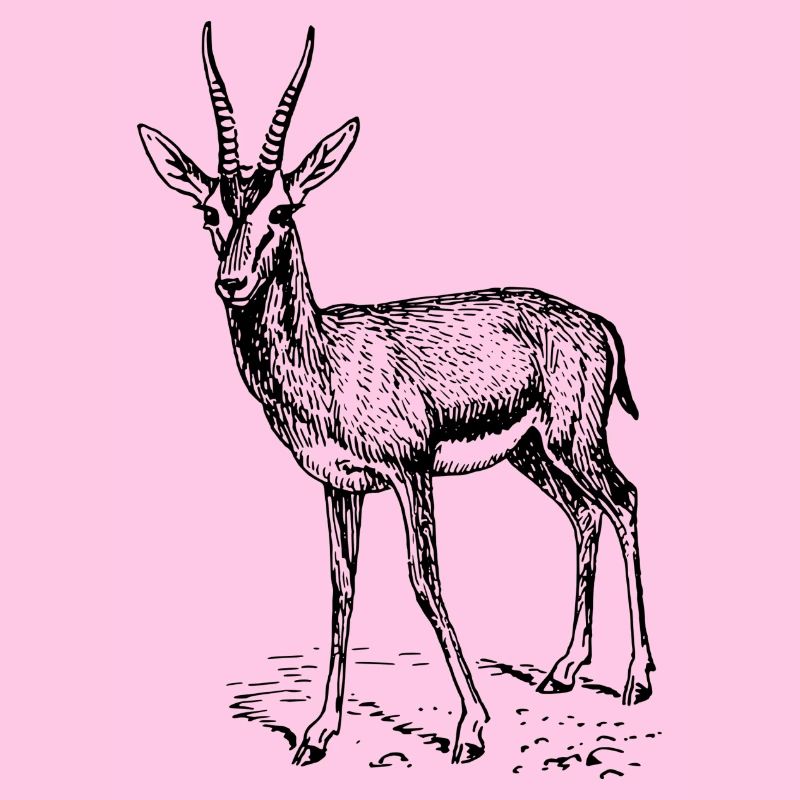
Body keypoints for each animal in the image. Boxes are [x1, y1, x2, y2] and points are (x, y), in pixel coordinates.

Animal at [138, 23, 655, 766]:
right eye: (211, 210)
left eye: (282, 209)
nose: (230, 281)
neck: (326, 362)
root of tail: (597, 320)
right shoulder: (340, 485)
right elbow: (342, 588)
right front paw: (318, 732)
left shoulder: (412, 473)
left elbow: (424, 578)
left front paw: (471, 727)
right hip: (534, 454)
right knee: (586, 516)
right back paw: (562, 670)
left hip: (573, 440)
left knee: (625, 502)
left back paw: (636, 679)